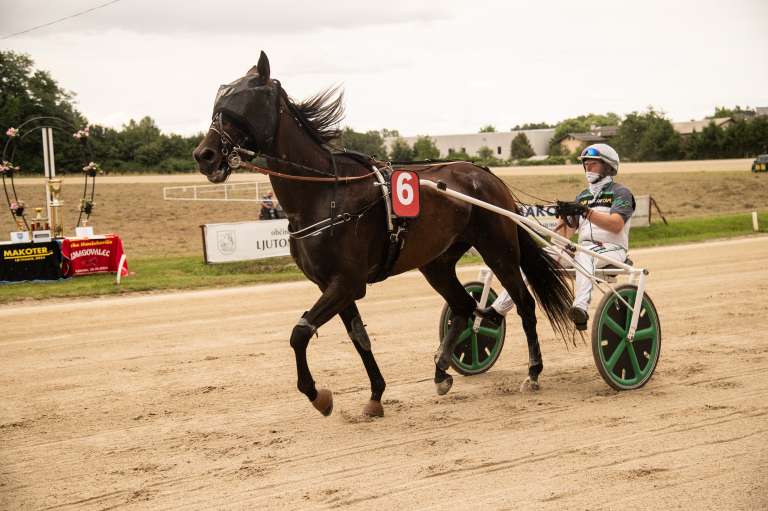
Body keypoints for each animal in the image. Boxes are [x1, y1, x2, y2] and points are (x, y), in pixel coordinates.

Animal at [195, 52, 572, 418]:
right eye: (219, 97)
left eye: (243, 99)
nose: (204, 155)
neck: (325, 193)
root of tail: (485, 173)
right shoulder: (333, 285)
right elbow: (359, 338)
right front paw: (375, 395)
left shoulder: (346, 282)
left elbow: (300, 332)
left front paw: (319, 395)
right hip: (436, 262)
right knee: (464, 307)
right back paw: (441, 371)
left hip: (499, 250)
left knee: (523, 303)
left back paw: (533, 372)